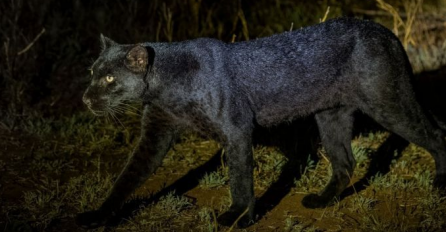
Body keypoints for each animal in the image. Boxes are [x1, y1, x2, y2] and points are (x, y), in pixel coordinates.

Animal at [76, 18, 446, 228]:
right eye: (92, 72)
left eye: (109, 79)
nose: (86, 99)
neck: (164, 88)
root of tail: (386, 32)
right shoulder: (156, 133)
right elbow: (127, 177)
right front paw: (98, 215)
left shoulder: (237, 129)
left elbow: (240, 178)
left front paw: (238, 217)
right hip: (332, 115)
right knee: (345, 162)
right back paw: (321, 201)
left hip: (388, 102)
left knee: (437, 133)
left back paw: (440, 183)